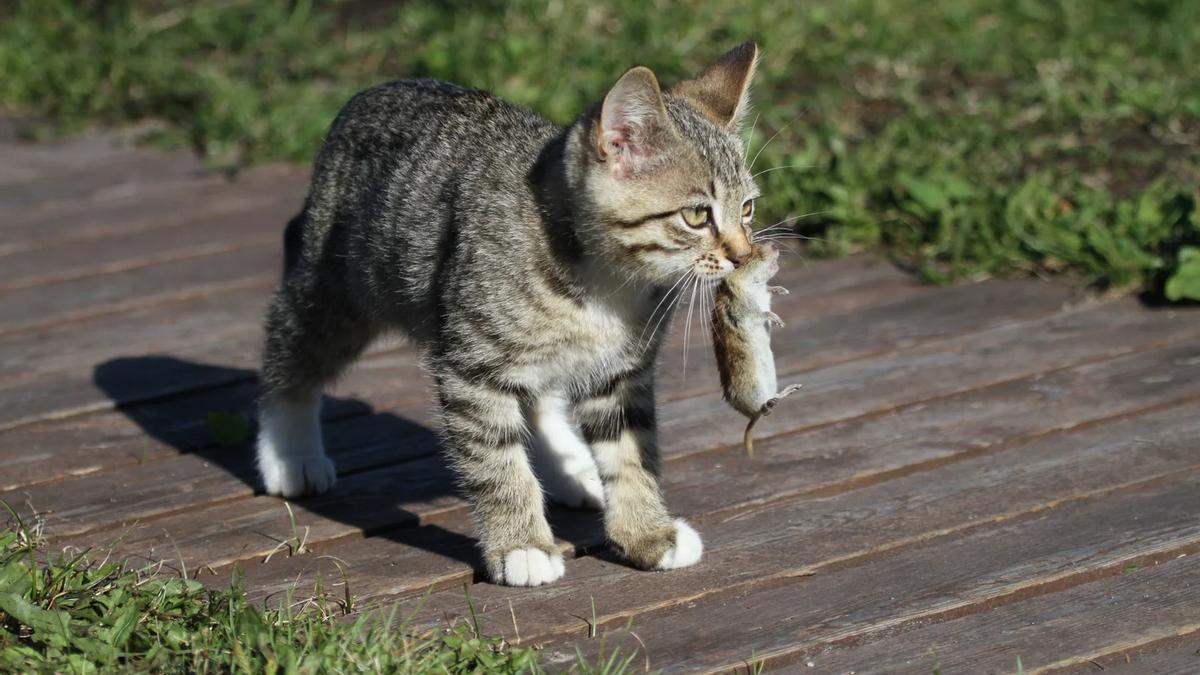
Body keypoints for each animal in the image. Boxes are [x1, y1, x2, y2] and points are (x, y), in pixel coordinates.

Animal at [255, 40, 758, 583]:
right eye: (697, 215)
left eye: (748, 209)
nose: (743, 254)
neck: (604, 283)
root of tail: (372, 92)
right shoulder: (470, 364)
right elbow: (496, 460)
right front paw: (522, 546)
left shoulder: (621, 371)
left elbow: (629, 452)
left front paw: (647, 533)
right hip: (342, 288)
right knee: (292, 341)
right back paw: (289, 452)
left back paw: (570, 466)